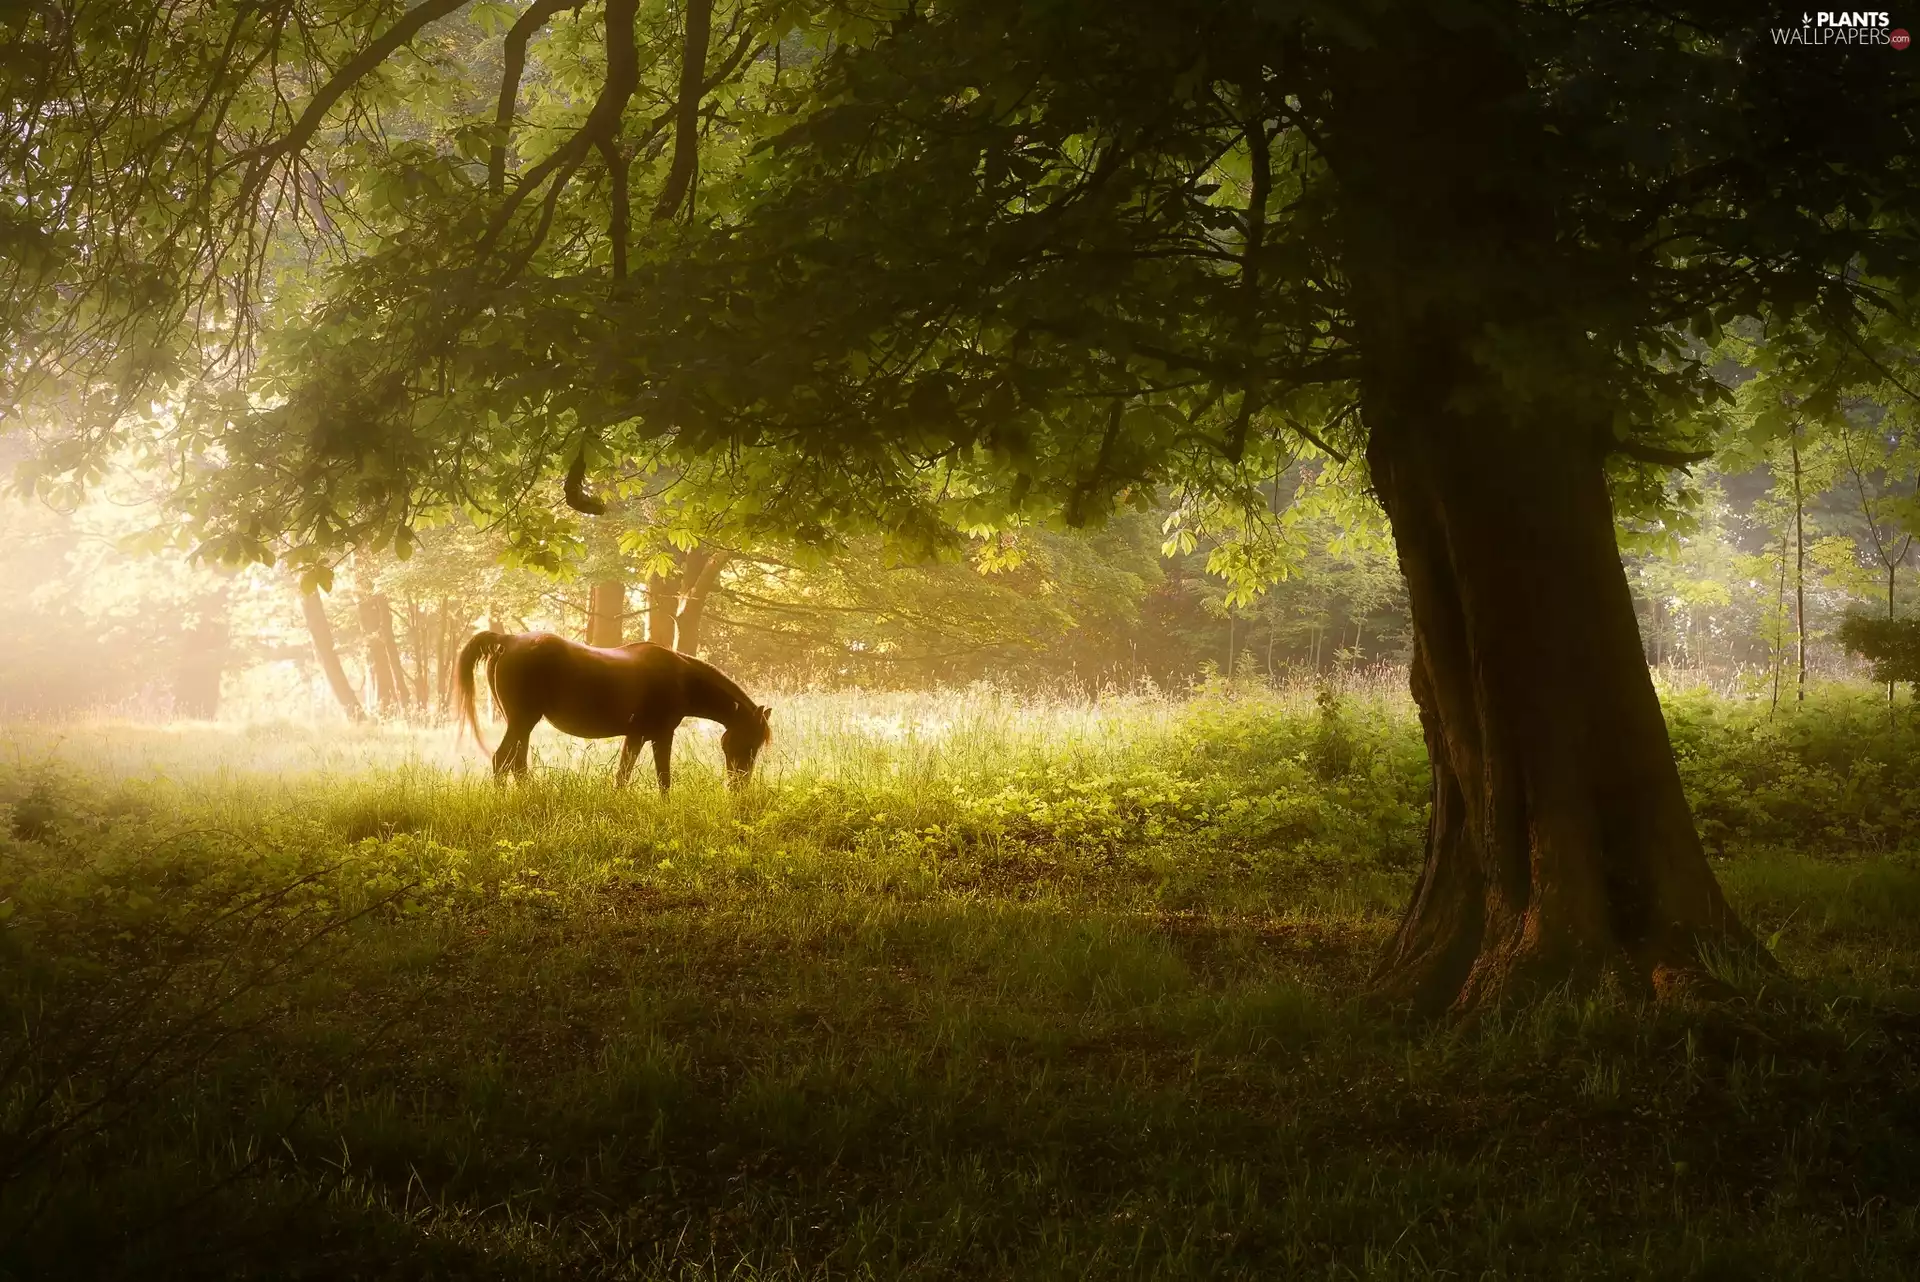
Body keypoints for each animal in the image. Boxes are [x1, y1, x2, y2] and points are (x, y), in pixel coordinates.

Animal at [455, 631, 772, 790]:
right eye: (749, 742)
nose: (739, 787)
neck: (681, 678)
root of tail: (507, 640)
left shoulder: (636, 736)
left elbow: (623, 776)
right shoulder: (661, 735)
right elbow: (663, 779)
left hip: (522, 724)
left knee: (517, 765)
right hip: (522, 720)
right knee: (501, 761)